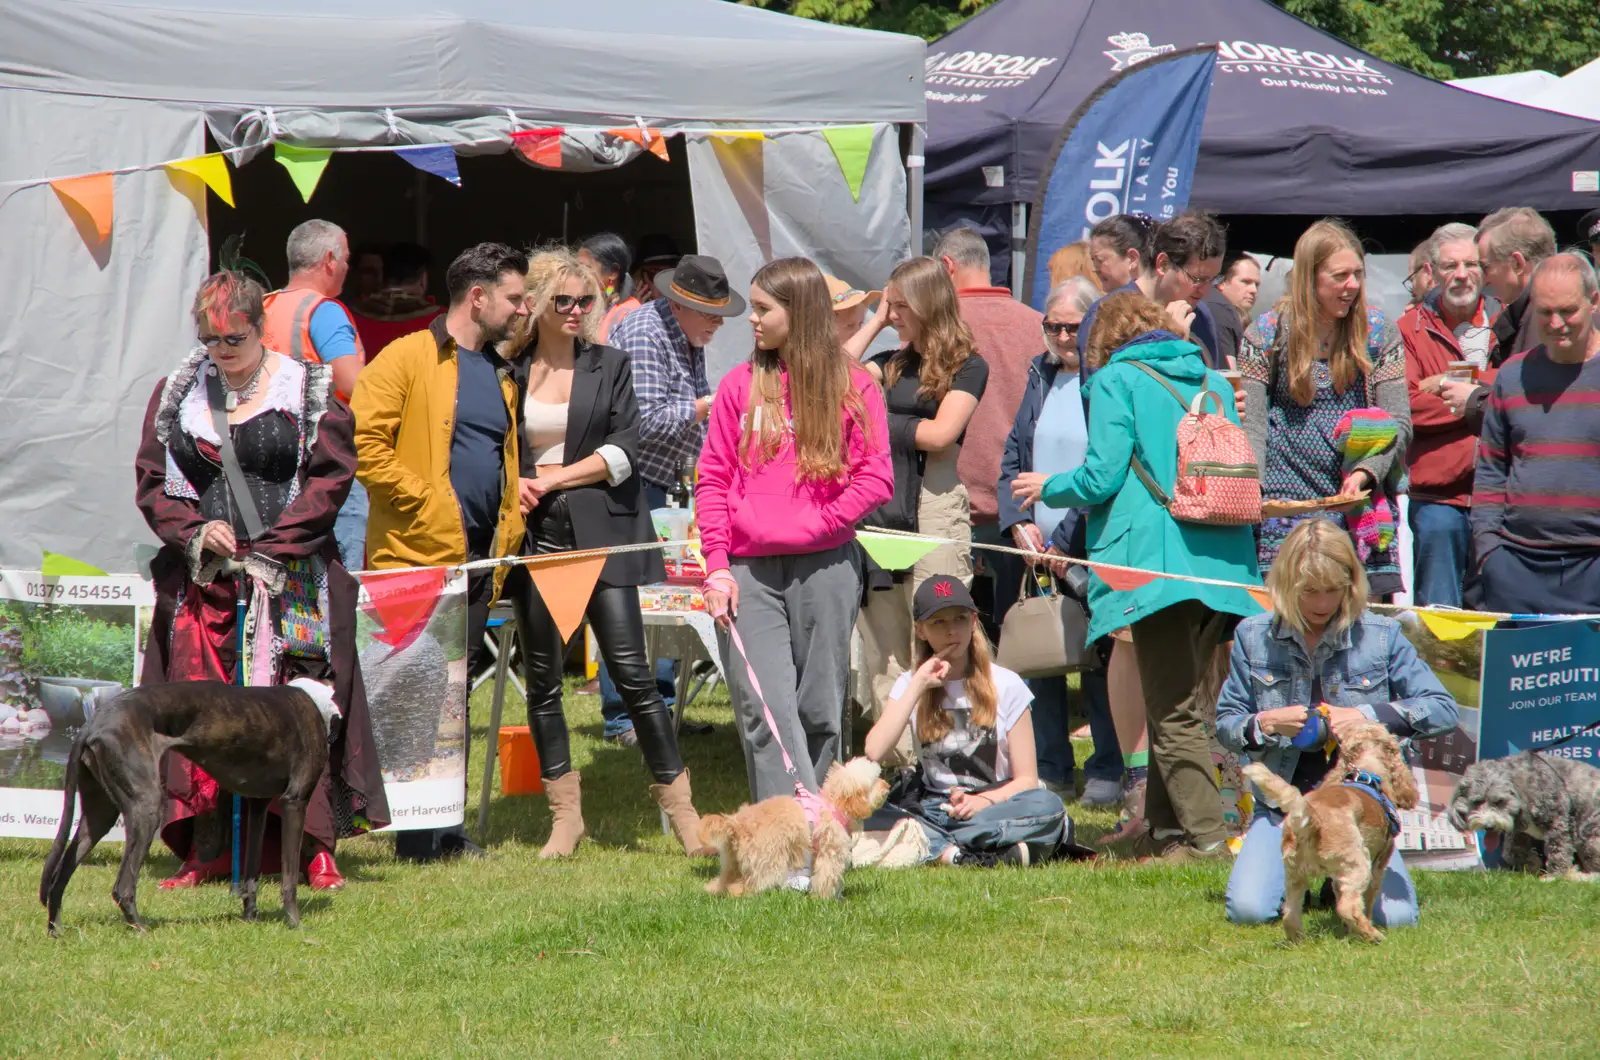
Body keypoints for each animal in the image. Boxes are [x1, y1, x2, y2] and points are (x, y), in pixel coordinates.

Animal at [1452, 755, 1600, 877]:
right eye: (1476, 802)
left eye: (1499, 801)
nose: (1489, 826)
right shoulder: (1519, 831)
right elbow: (1509, 853)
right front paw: (1533, 863)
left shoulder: (1557, 823)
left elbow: (1559, 852)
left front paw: (1554, 876)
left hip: (1588, 838)